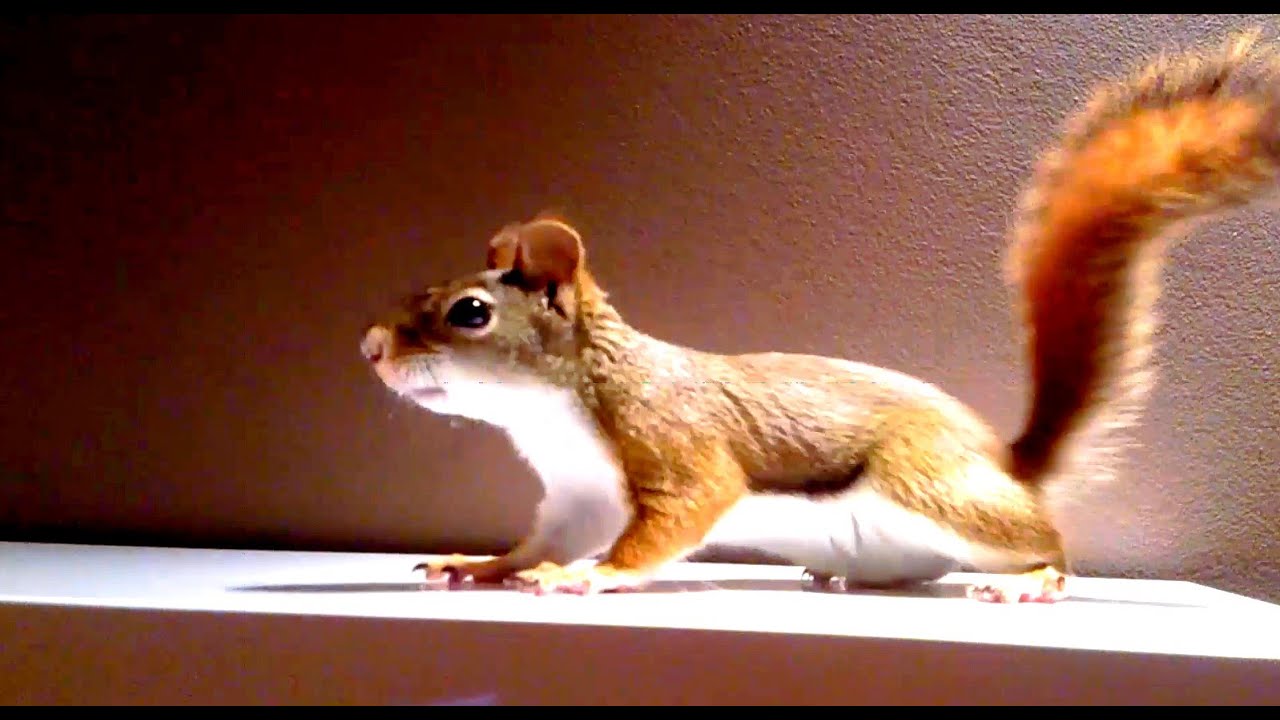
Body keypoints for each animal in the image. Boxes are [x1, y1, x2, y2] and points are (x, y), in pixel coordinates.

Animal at [359, 29, 1280, 602]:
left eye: (470, 312)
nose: (369, 346)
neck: (553, 409)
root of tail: (1007, 463)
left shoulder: (674, 444)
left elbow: (672, 519)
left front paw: (594, 578)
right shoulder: (577, 494)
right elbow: (545, 539)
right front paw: (482, 566)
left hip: (934, 487)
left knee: (1050, 544)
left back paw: (1031, 581)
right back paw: (838, 578)